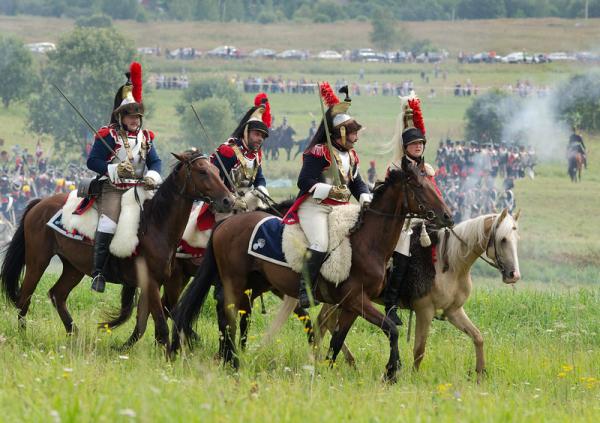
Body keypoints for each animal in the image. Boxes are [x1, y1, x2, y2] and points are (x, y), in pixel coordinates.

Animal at [0, 152, 234, 352]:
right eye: (202, 171)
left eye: (216, 170)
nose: (228, 200)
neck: (156, 224)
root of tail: (40, 203)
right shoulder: (152, 282)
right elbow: (160, 323)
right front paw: (168, 355)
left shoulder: (153, 283)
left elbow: (142, 323)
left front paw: (125, 349)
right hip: (37, 261)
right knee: (24, 298)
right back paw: (23, 337)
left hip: (74, 268)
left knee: (57, 294)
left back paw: (75, 335)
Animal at [171, 162, 452, 384]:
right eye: (419, 187)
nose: (447, 216)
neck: (365, 242)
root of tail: (227, 223)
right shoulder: (356, 300)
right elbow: (391, 329)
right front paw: (391, 372)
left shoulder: (350, 305)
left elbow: (337, 341)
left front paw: (325, 369)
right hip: (234, 282)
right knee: (227, 315)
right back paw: (232, 360)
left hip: (255, 284)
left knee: (240, 315)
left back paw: (231, 356)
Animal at [262, 209, 520, 380]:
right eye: (503, 239)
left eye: (516, 239)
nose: (513, 275)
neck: (450, 262)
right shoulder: (424, 310)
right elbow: (419, 349)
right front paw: (411, 377)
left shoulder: (453, 311)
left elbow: (478, 337)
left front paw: (480, 372)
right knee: (323, 325)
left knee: (322, 325)